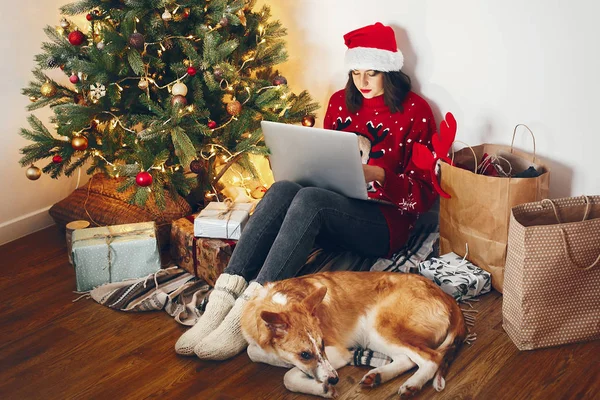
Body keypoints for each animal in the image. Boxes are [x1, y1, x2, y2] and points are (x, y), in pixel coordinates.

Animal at [241, 270, 466, 398]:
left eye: (322, 345)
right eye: (304, 354)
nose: (334, 380)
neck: (279, 302)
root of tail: (446, 295)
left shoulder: (337, 352)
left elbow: (289, 376)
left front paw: (320, 387)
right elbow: (253, 352)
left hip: (381, 326)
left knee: (431, 357)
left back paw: (413, 384)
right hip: (375, 335)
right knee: (408, 359)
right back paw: (378, 376)